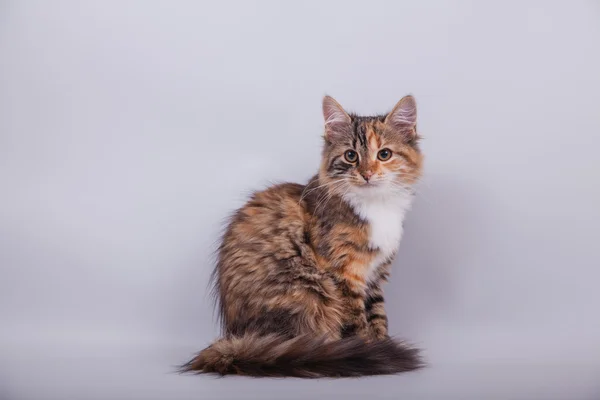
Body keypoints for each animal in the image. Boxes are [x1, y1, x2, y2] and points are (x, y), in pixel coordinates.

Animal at [182, 95, 422, 376]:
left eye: (384, 154)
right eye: (351, 156)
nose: (367, 174)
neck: (376, 205)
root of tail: (237, 340)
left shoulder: (376, 274)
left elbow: (378, 316)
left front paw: (382, 345)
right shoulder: (343, 273)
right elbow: (358, 322)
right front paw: (370, 349)